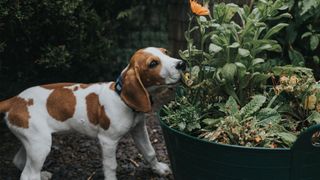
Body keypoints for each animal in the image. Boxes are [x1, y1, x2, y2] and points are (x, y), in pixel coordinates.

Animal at [0, 47, 185, 180]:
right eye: (153, 63)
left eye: (166, 53)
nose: (182, 64)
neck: (120, 97)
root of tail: (14, 100)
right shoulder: (107, 141)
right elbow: (111, 167)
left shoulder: (138, 129)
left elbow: (150, 152)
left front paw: (159, 170)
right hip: (40, 144)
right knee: (28, 174)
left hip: (33, 140)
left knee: (20, 162)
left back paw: (43, 174)